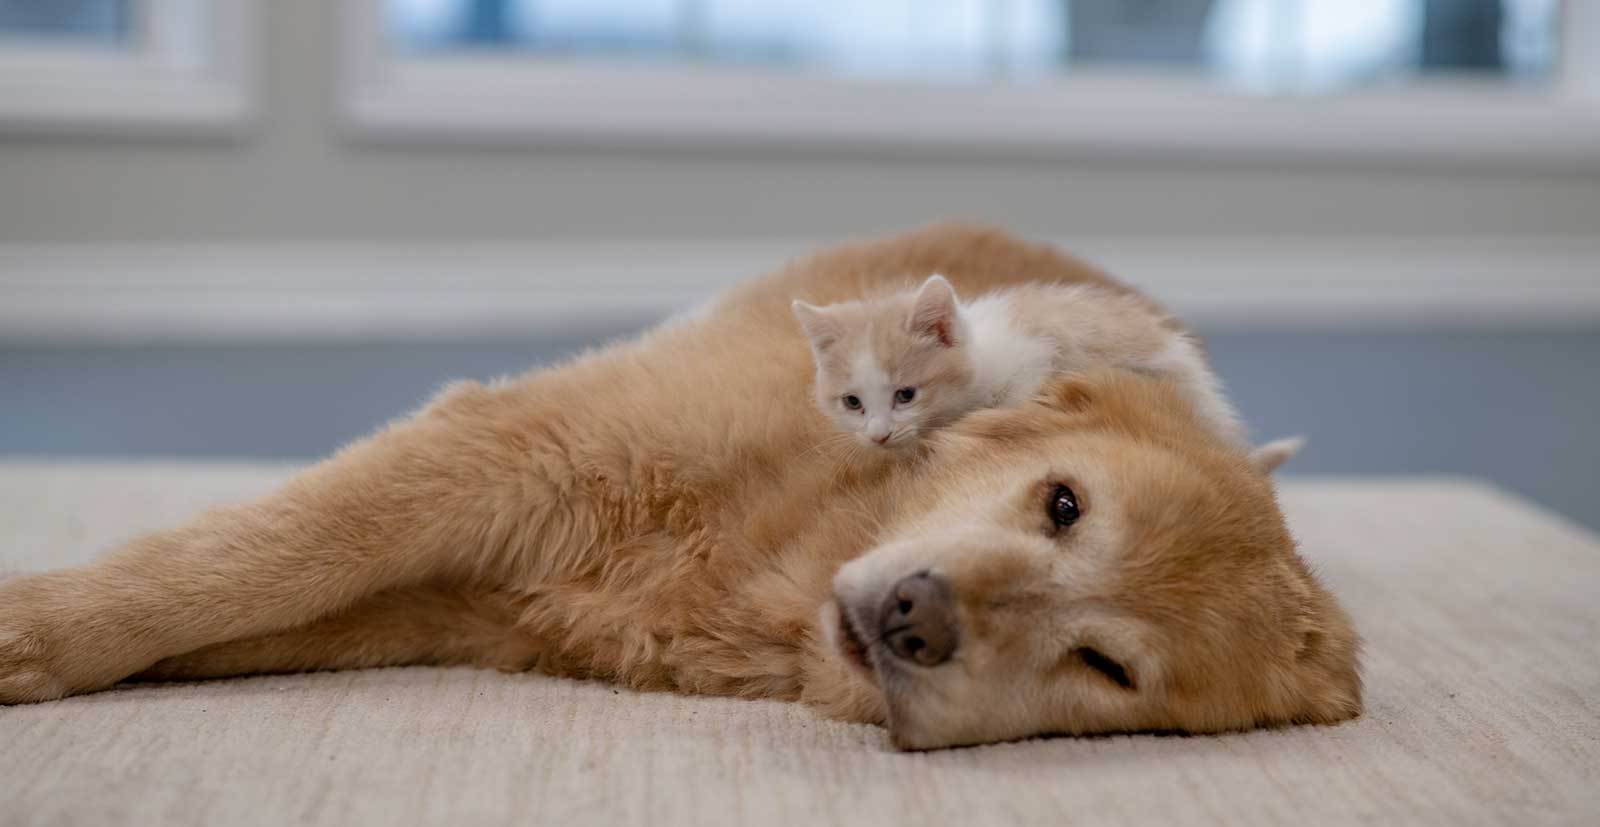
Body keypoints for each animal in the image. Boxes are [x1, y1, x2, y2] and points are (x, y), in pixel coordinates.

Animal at [0, 223, 1363, 748]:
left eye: (1108, 666)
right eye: (1062, 501)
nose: (916, 617)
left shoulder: (475, 601)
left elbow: (245, 606)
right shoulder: (510, 445)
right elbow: (242, 562)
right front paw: (39, 625)